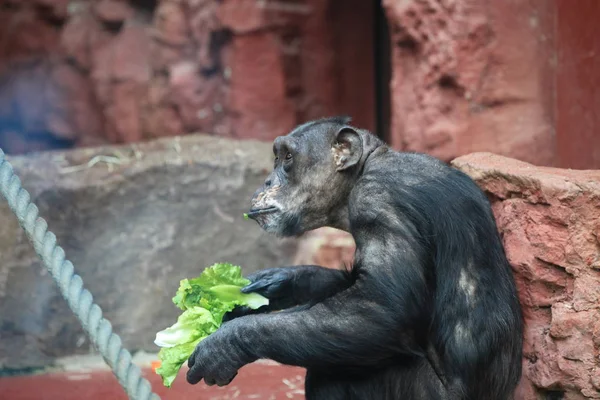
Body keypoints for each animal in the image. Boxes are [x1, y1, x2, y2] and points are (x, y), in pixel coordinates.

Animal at [185, 116, 524, 400]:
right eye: (277, 157)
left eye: (288, 158)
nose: (268, 182)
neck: (366, 168)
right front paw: (278, 282)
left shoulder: (378, 201)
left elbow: (380, 308)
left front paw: (225, 345)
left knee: (333, 371)